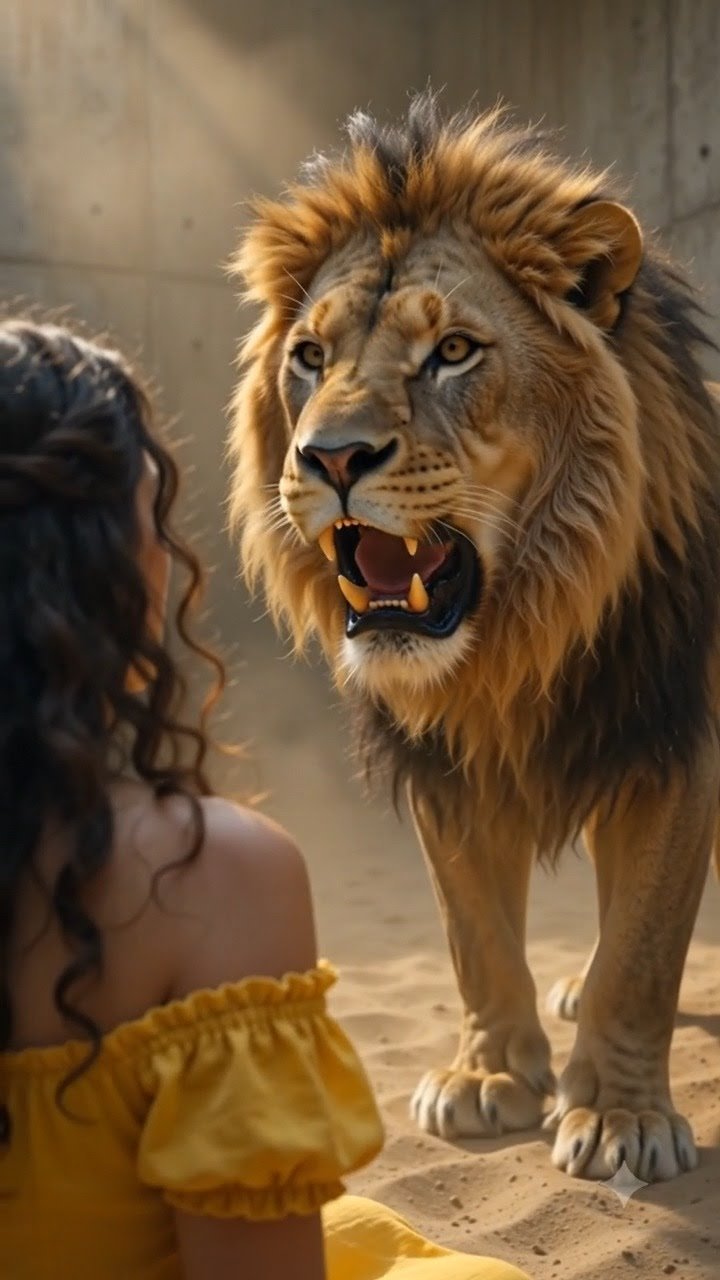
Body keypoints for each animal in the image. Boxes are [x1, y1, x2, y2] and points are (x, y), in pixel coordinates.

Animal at [229, 93, 720, 1182]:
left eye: (453, 351)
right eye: (310, 357)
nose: (329, 458)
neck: (515, 642)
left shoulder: (677, 737)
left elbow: (645, 944)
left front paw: (620, 1116)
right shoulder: (439, 760)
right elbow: (474, 933)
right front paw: (490, 1075)